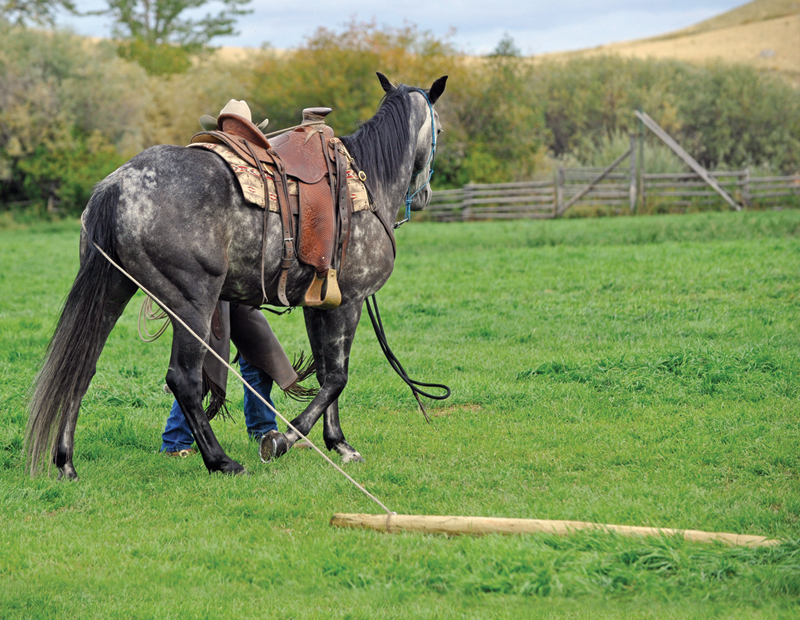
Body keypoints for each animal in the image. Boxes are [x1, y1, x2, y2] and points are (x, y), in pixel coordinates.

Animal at [26, 72, 447, 479]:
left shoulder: (320, 306)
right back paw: (221, 461)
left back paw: (66, 462)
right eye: (440, 130)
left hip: (114, 290)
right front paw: (284, 439)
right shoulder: (351, 300)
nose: (426, 195)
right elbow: (337, 377)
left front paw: (338, 443)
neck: (366, 182)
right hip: (192, 303)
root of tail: (119, 185)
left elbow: (328, 370)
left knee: (81, 367)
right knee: (184, 379)